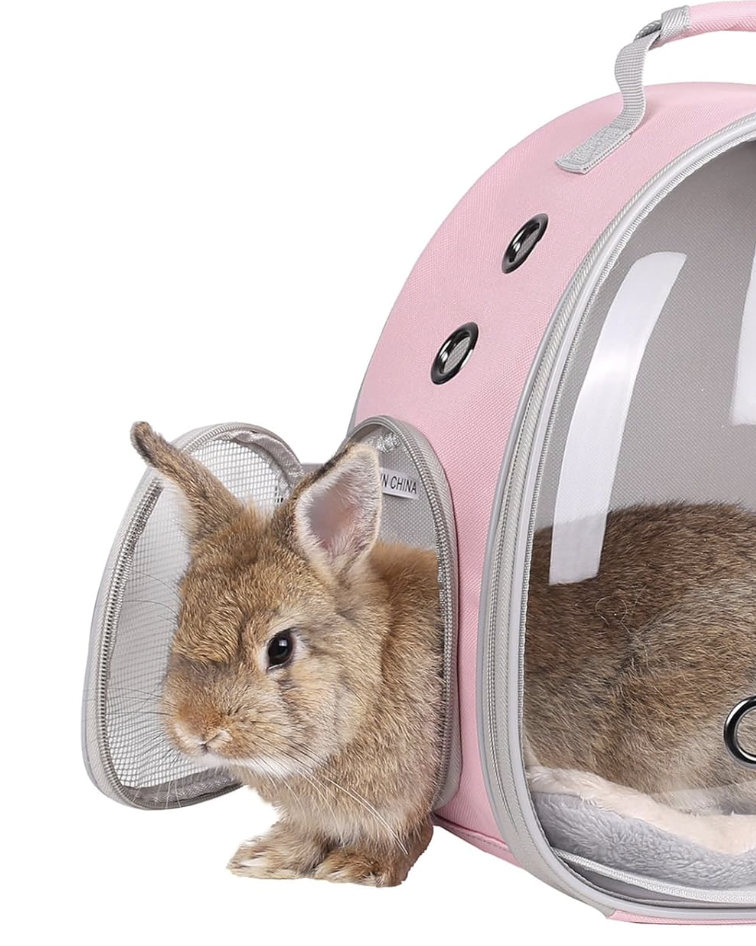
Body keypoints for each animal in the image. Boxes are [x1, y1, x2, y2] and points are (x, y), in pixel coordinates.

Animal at [130, 422, 444, 886]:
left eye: (280, 647)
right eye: (181, 621)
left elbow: (407, 833)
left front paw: (356, 867)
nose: (195, 729)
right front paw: (266, 858)